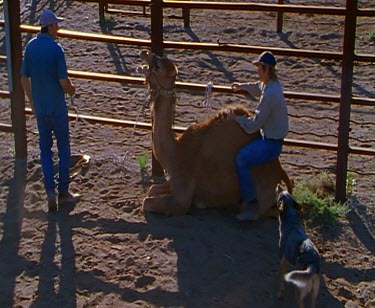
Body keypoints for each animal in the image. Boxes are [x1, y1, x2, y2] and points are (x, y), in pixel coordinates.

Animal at [139, 50, 294, 218]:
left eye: (158, 65)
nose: (145, 52)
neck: (177, 152)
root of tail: (280, 172)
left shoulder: (182, 193)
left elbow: (147, 201)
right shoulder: (172, 180)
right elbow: (151, 189)